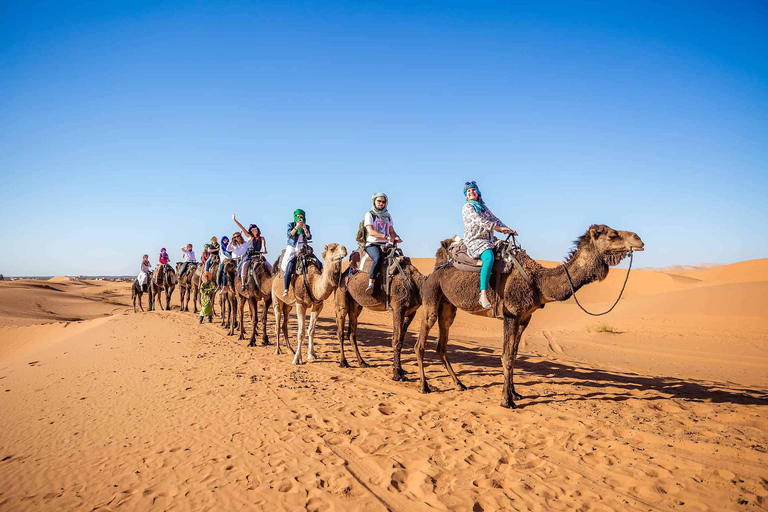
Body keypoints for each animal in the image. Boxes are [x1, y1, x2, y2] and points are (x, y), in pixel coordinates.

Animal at [332, 248, 424, 380]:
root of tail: (344, 273)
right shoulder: (398, 309)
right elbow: (396, 341)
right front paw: (397, 375)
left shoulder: (411, 312)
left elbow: (400, 340)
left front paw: (401, 371)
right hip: (342, 295)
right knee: (340, 331)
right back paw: (343, 362)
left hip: (356, 305)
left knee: (352, 332)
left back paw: (362, 362)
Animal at [416, 224, 644, 408]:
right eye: (612, 235)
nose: (639, 239)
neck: (538, 282)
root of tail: (435, 269)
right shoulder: (510, 315)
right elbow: (506, 357)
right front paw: (506, 401)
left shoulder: (525, 318)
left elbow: (515, 355)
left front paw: (515, 393)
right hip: (431, 298)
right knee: (421, 343)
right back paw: (424, 386)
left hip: (448, 307)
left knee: (441, 345)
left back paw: (459, 384)